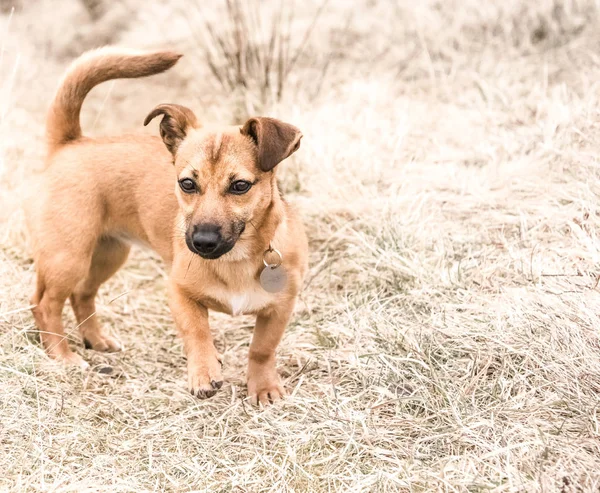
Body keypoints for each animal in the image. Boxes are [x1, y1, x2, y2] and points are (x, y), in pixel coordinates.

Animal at [25, 48, 308, 406]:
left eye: (240, 186)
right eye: (187, 184)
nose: (202, 242)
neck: (236, 258)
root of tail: (70, 143)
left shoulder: (280, 308)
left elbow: (261, 349)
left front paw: (264, 387)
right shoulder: (179, 293)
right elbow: (197, 333)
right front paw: (204, 372)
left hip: (107, 255)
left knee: (82, 295)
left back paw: (96, 340)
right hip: (68, 257)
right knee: (46, 304)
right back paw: (63, 356)